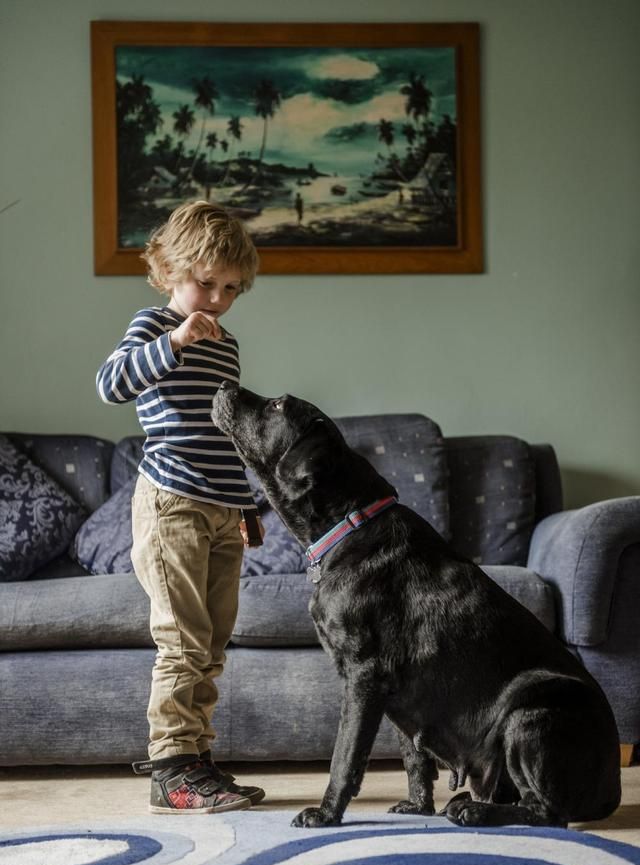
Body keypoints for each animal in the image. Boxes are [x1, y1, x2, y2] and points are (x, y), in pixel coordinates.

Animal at [212, 382, 624, 828]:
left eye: (276, 405)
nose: (225, 385)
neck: (349, 525)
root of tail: (613, 788)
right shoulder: (400, 694)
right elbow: (414, 755)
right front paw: (418, 806)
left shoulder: (364, 677)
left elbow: (346, 756)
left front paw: (325, 813)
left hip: (531, 711)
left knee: (547, 810)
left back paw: (474, 810)